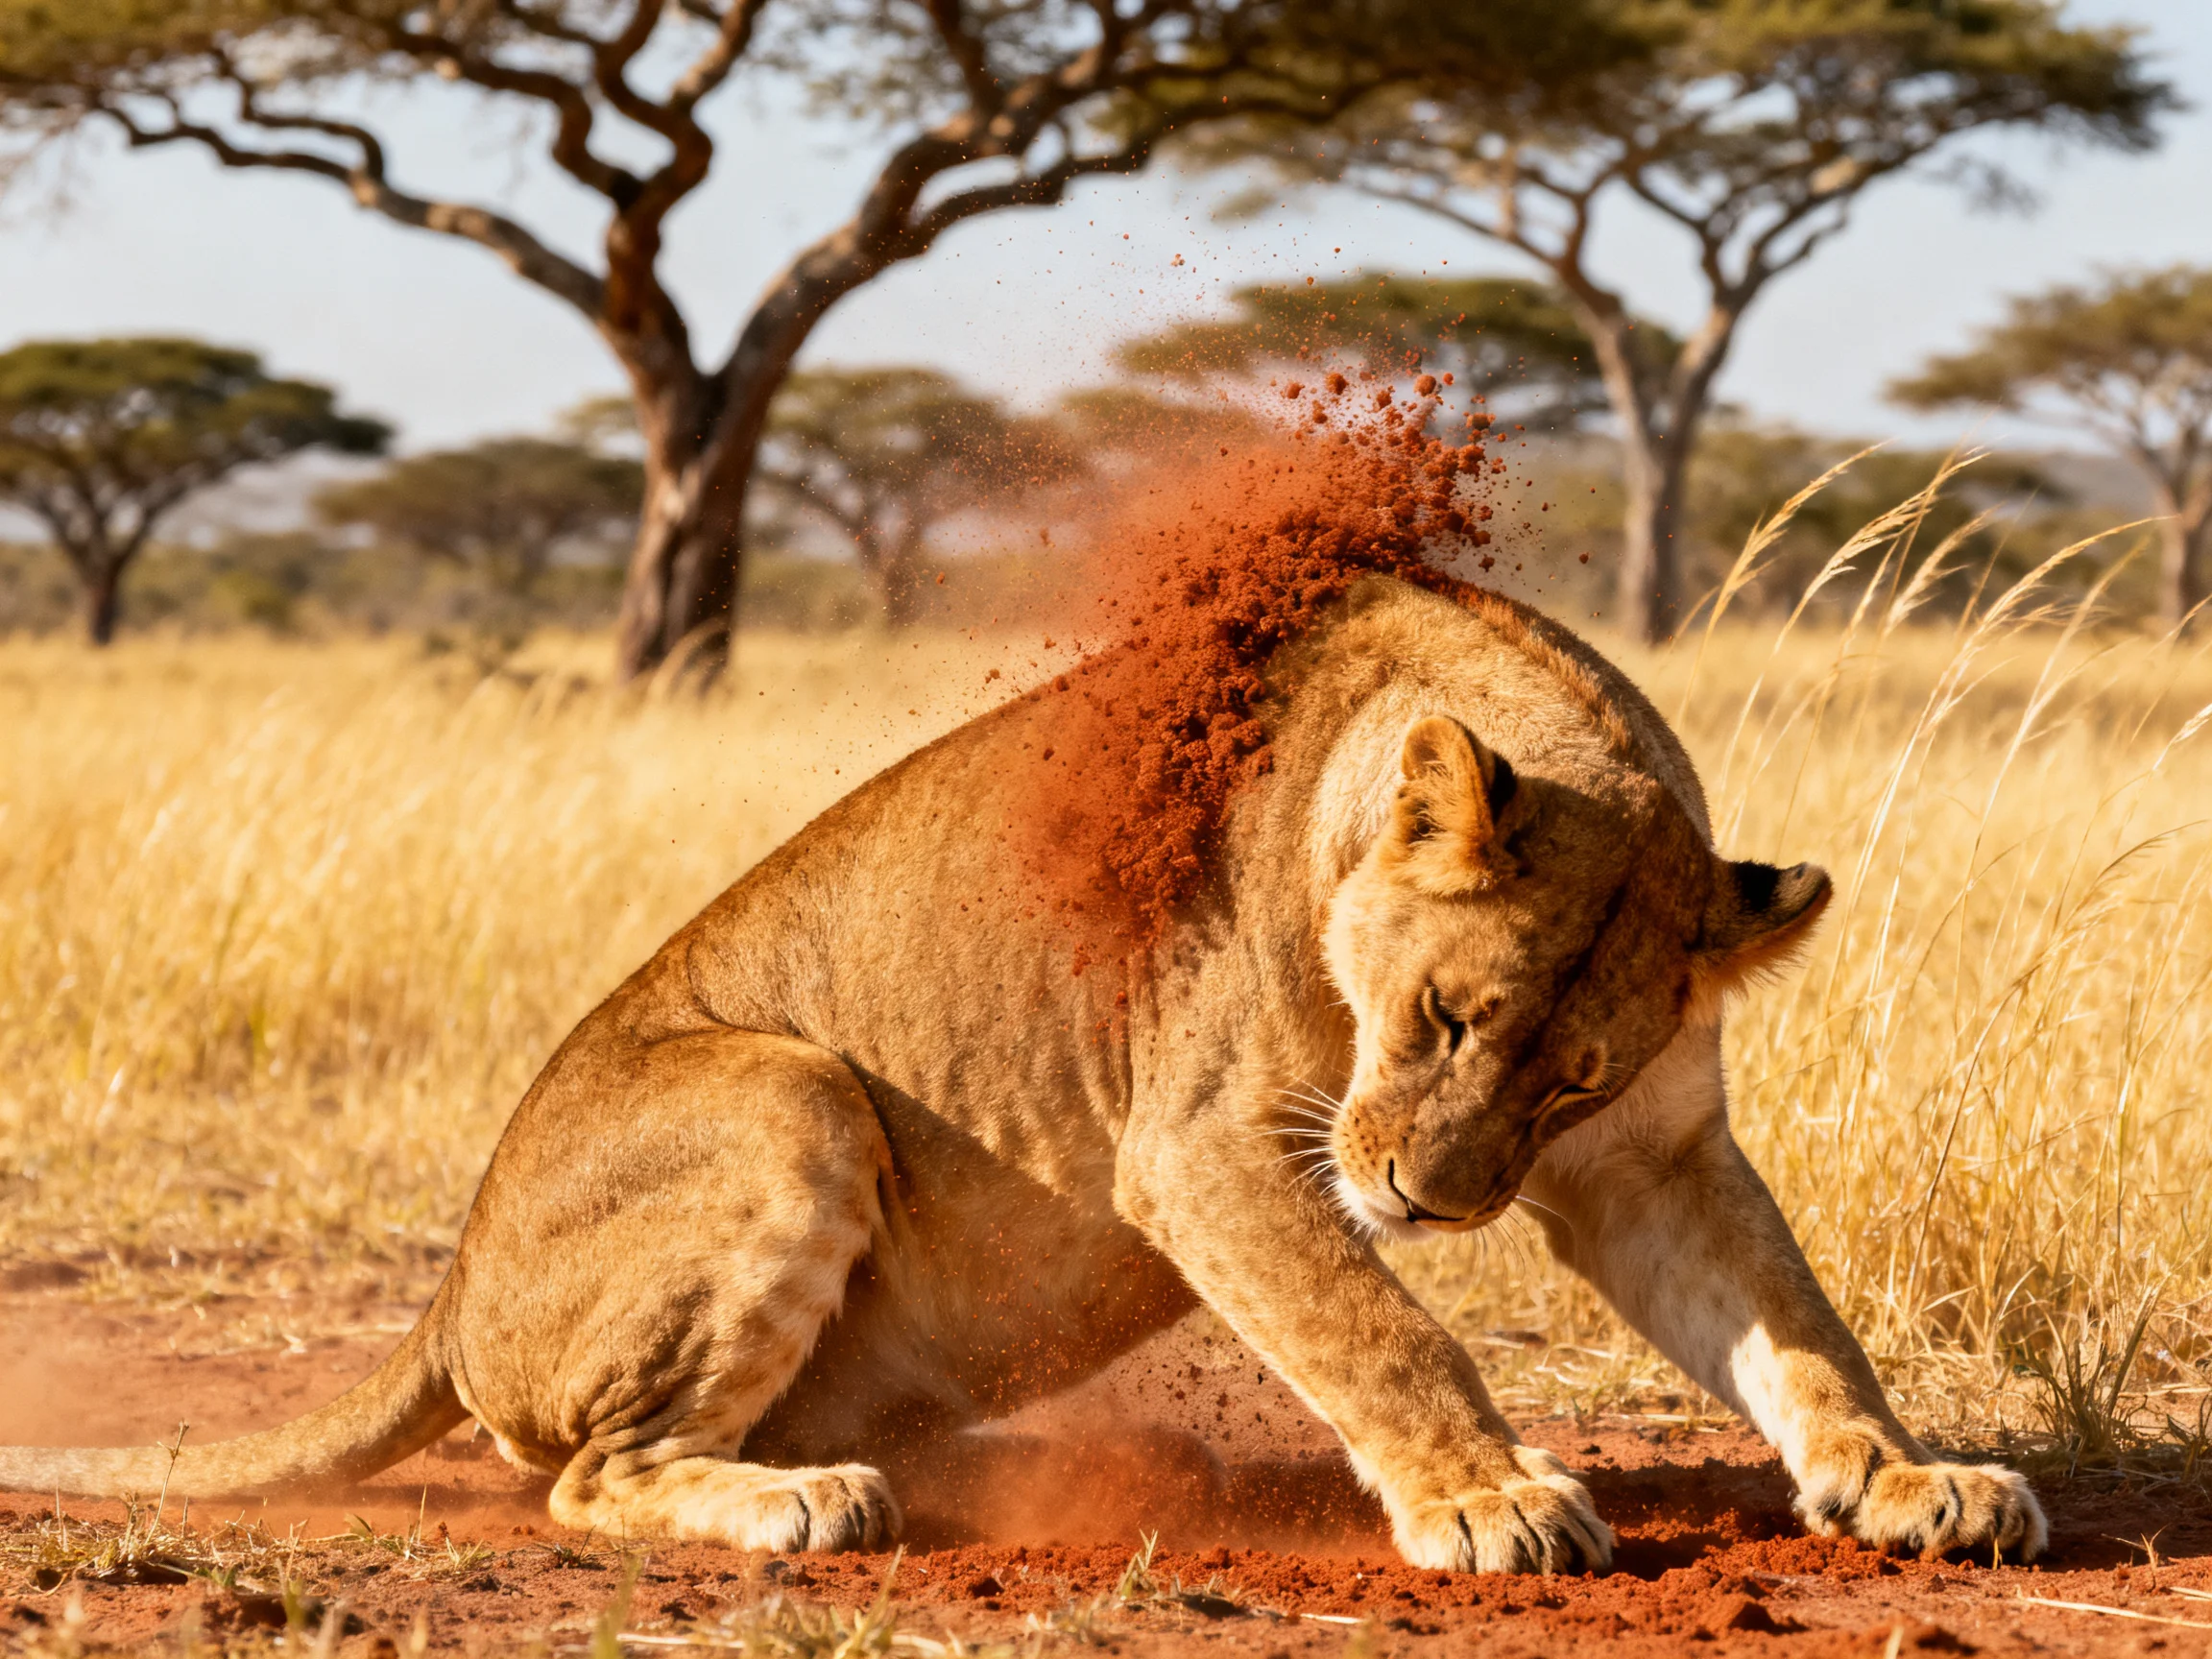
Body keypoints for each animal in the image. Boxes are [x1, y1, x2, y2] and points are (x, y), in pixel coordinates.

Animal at [0, 575, 2044, 1572]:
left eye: (1563, 1079)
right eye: (1446, 1021)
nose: (1423, 1198)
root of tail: (441, 1290)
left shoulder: (1655, 1155)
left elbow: (1795, 1329)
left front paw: (1911, 1478)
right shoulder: (1208, 1144)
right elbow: (1382, 1329)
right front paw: (1486, 1498)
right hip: (784, 1090)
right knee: (588, 1474)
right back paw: (804, 1502)